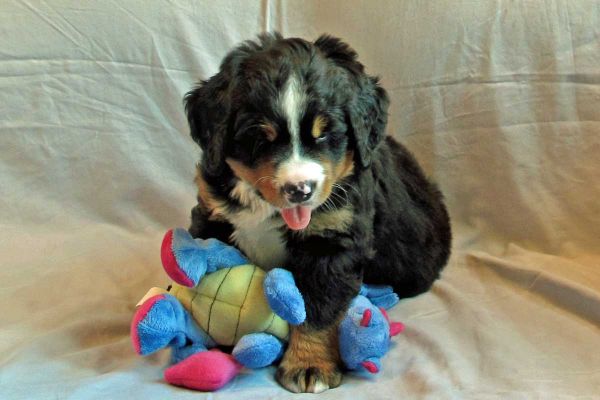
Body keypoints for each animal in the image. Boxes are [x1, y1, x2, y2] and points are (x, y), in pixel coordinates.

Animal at [185, 32, 452, 392]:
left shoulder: (332, 241)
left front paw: (309, 364)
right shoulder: (214, 218)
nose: (300, 190)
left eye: (325, 133)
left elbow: (316, 310)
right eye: (259, 137)